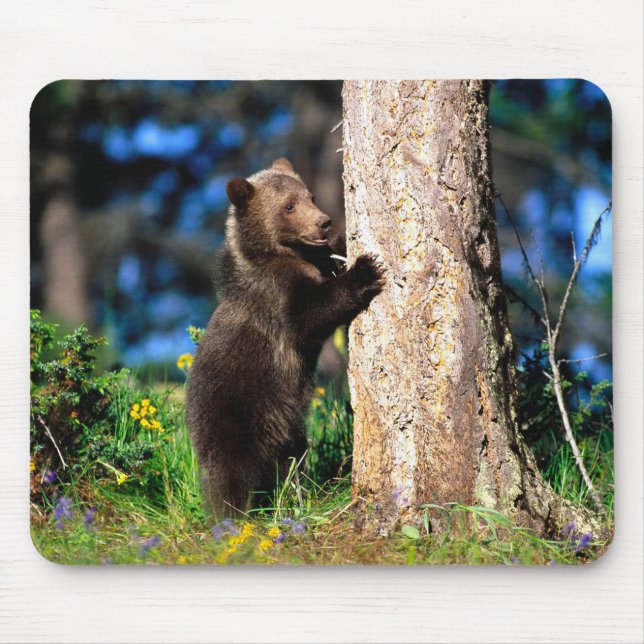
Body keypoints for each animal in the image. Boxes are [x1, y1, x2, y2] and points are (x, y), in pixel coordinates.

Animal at [186, 157, 385, 518]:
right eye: (288, 206)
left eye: (311, 196)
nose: (324, 223)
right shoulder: (275, 297)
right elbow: (309, 315)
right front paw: (365, 269)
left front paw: (344, 248)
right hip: (235, 411)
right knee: (229, 474)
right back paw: (232, 518)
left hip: (286, 422)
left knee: (292, 459)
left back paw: (295, 495)